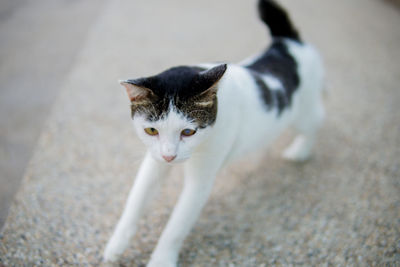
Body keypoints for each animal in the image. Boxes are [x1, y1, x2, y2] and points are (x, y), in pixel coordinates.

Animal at [104, 0, 324, 266]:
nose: (169, 156)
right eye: (151, 130)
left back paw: (300, 150)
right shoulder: (153, 160)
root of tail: (286, 44)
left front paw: (161, 259)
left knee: (317, 118)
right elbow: (135, 200)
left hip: (302, 114)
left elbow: (176, 226)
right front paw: (116, 244)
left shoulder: (200, 181)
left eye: (188, 131)